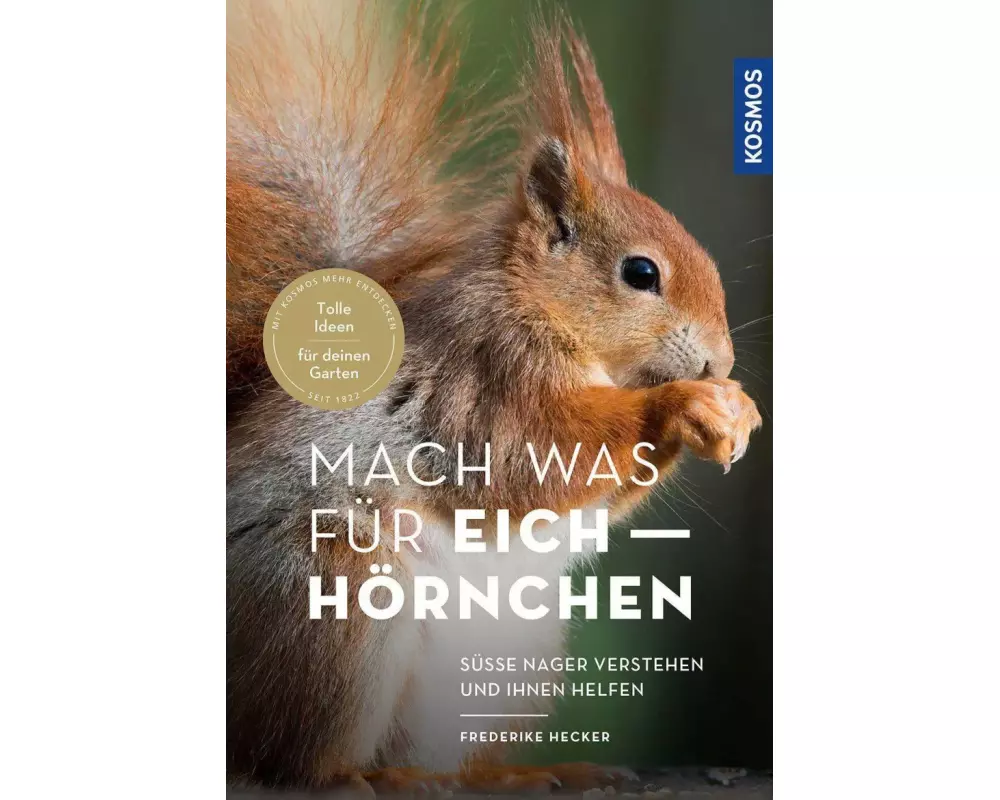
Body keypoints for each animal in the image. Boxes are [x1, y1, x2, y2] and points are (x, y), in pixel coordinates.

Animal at [227, 1, 762, 793]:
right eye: (641, 273)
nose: (718, 361)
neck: (540, 309)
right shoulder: (481, 374)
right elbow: (528, 456)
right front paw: (681, 405)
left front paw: (735, 408)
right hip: (333, 590)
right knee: (292, 758)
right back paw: (368, 777)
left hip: (514, 657)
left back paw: (516, 773)